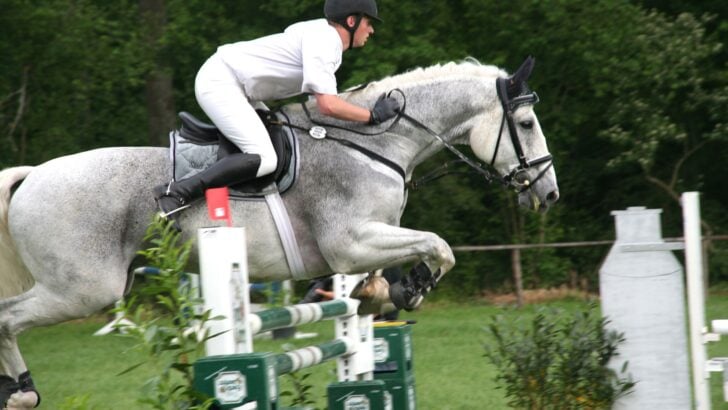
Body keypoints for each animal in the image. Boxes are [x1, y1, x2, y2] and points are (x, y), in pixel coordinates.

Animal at [0, 57, 558, 408]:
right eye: (526, 124)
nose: (548, 194)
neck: (376, 144)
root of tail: (32, 175)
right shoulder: (352, 241)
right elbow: (439, 247)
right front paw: (413, 288)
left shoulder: (362, 245)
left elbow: (384, 272)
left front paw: (385, 294)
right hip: (84, 289)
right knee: (8, 318)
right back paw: (22, 391)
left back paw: (19, 390)